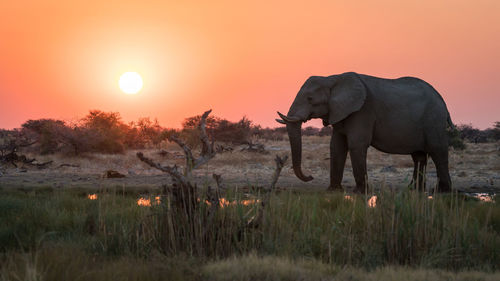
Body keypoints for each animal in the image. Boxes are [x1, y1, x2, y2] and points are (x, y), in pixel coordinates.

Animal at [276, 71, 456, 192]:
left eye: (310, 99)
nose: (310, 177)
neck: (332, 78)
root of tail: (444, 102)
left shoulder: (362, 110)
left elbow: (356, 144)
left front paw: (360, 192)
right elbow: (336, 146)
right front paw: (333, 191)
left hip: (433, 120)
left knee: (438, 151)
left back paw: (443, 191)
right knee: (419, 156)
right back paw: (415, 190)